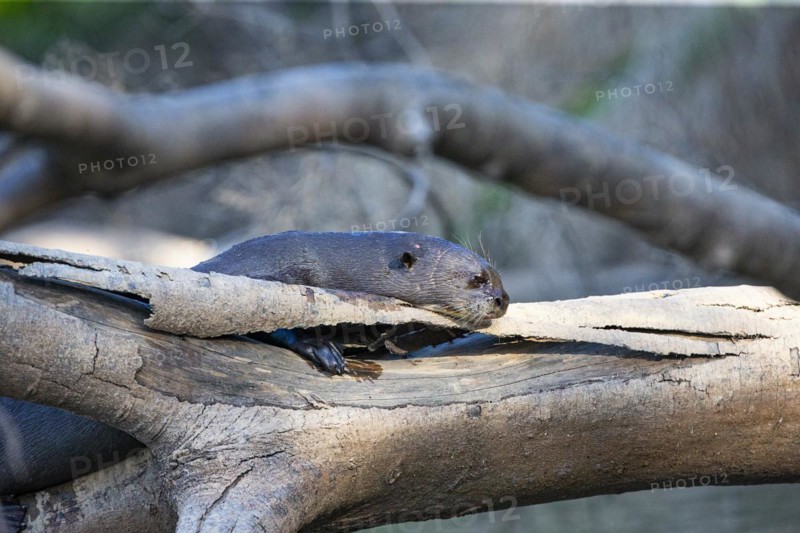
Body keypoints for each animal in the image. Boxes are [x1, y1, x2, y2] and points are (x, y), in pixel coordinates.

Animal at [1, 231, 508, 531]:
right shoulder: (253, 281)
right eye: (476, 278)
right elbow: (265, 322)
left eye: (496, 274)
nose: (503, 299)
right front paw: (323, 351)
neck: (327, 264)